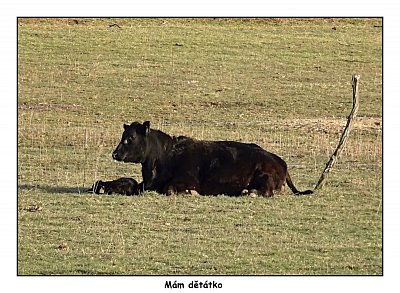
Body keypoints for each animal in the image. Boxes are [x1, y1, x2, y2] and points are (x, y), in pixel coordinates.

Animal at [111, 120, 312, 197]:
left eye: (130, 138)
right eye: (124, 136)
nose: (115, 154)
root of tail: (281, 162)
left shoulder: (186, 179)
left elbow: (170, 189)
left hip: (264, 176)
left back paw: (250, 192)